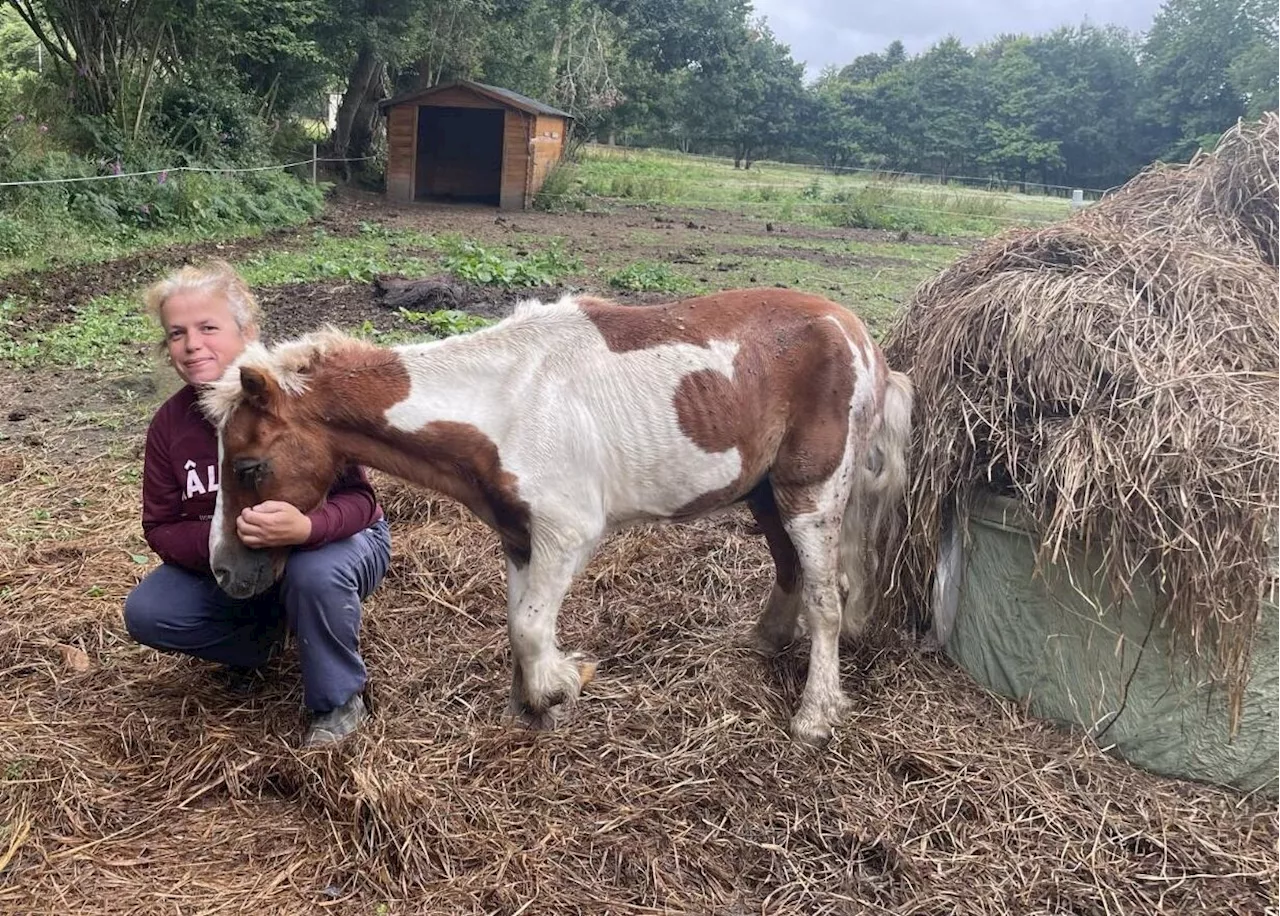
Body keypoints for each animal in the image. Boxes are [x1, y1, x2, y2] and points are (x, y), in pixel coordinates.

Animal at [199, 290, 911, 747]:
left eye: (249, 467)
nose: (226, 572)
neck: (505, 403)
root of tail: (862, 338)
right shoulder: (520, 538)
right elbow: (520, 624)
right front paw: (531, 708)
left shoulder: (567, 535)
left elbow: (532, 627)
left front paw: (558, 688)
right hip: (767, 493)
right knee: (789, 570)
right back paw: (764, 643)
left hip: (811, 494)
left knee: (827, 598)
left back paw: (815, 716)